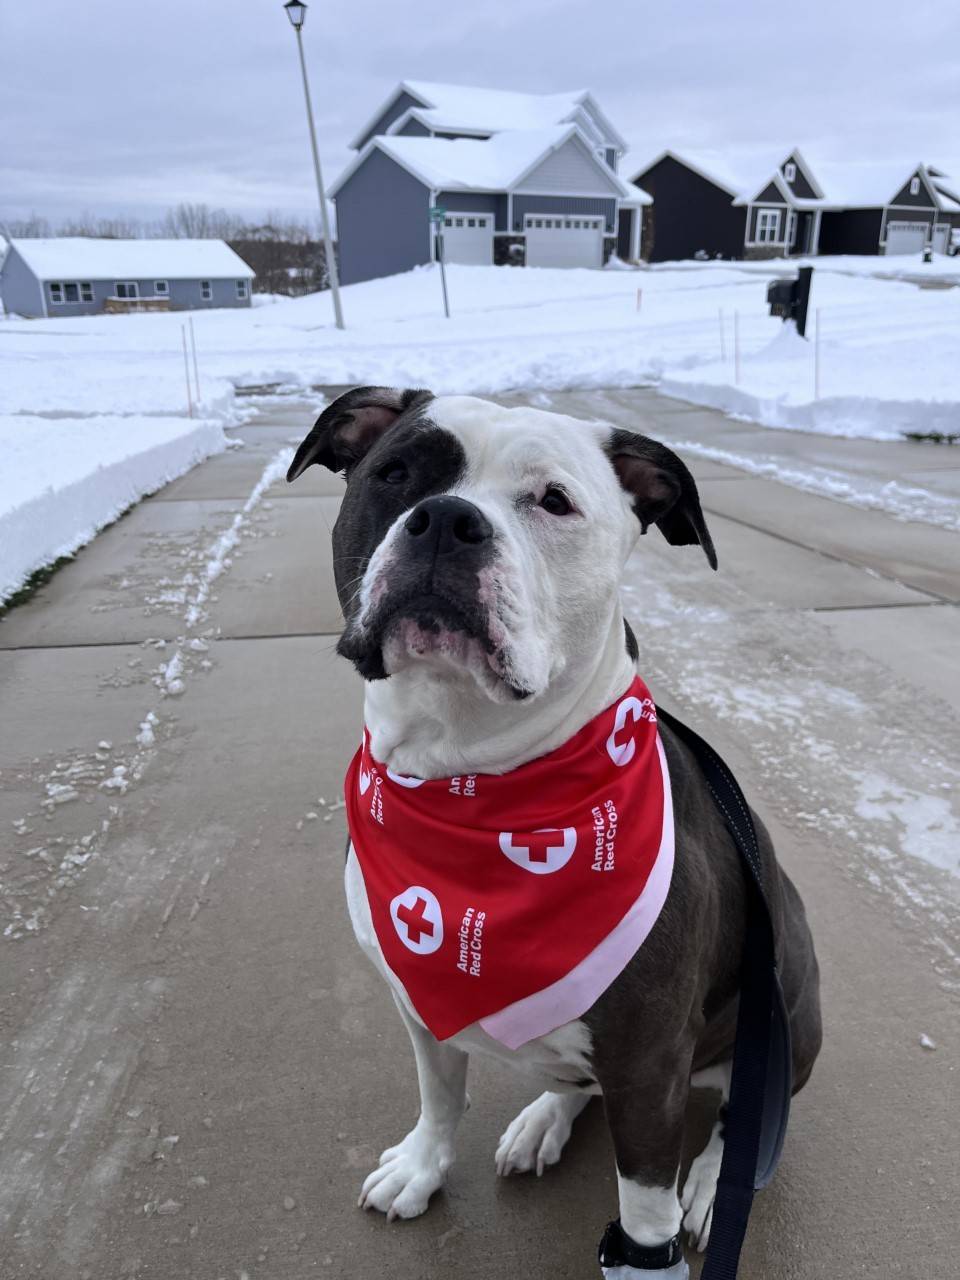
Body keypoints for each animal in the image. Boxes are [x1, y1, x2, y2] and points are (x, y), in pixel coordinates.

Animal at [289, 384, 824, 1274]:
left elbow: (644, 1212)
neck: (470, 774)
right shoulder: (418, 1001)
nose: (447, 521)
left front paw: (652, 1249)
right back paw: (545, 1117)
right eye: (394, 473)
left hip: (788, 1007)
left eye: (554, 501)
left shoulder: (649, 1062)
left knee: (743, 1113)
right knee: (576, 1083)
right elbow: (441, 1095)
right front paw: (423, 1167)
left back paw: (717, 1180)